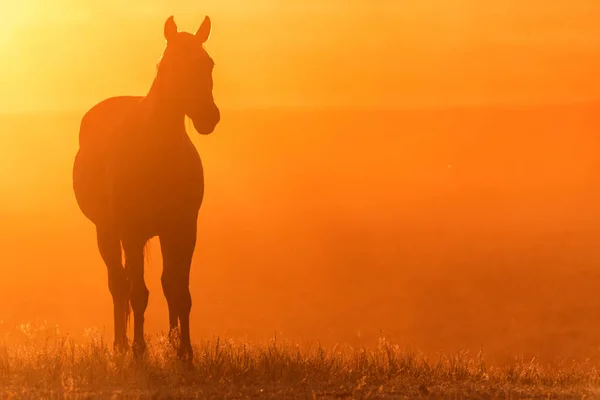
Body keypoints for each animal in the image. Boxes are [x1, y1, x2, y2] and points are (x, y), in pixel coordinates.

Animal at [71, 15, 219, 360]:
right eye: (167, 66)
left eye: (208, 63)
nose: (208, 117)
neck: (156, 154)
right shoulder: (133, 232)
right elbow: (137, 293)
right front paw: (139, 351)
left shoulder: (183, 229)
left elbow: (179, 292)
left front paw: (184, 352)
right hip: (107, 232)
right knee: (118, 284)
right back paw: (121, 346)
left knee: (159, 284)